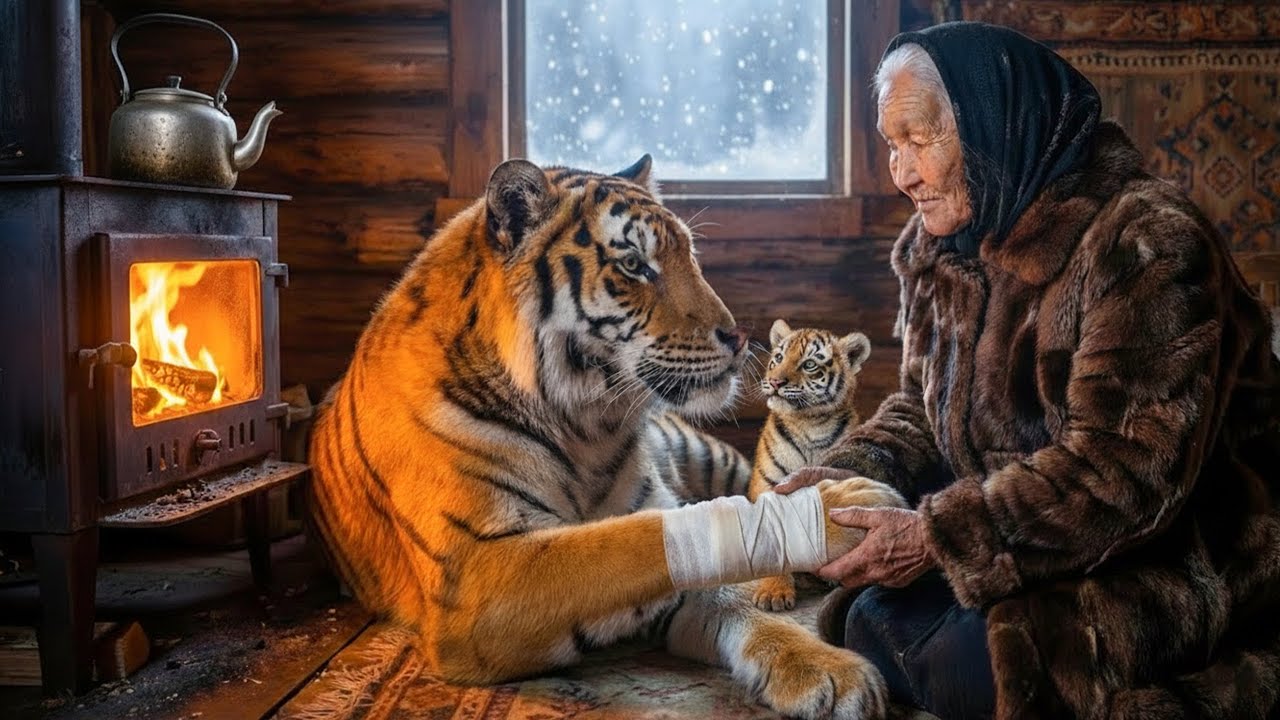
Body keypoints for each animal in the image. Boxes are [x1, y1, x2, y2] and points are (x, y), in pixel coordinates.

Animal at [747, 319, 874, 611]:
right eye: (778, 358)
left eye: (809, 364)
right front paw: (773, 593)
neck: (811, 424)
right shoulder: (770, 485)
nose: (775, 381)